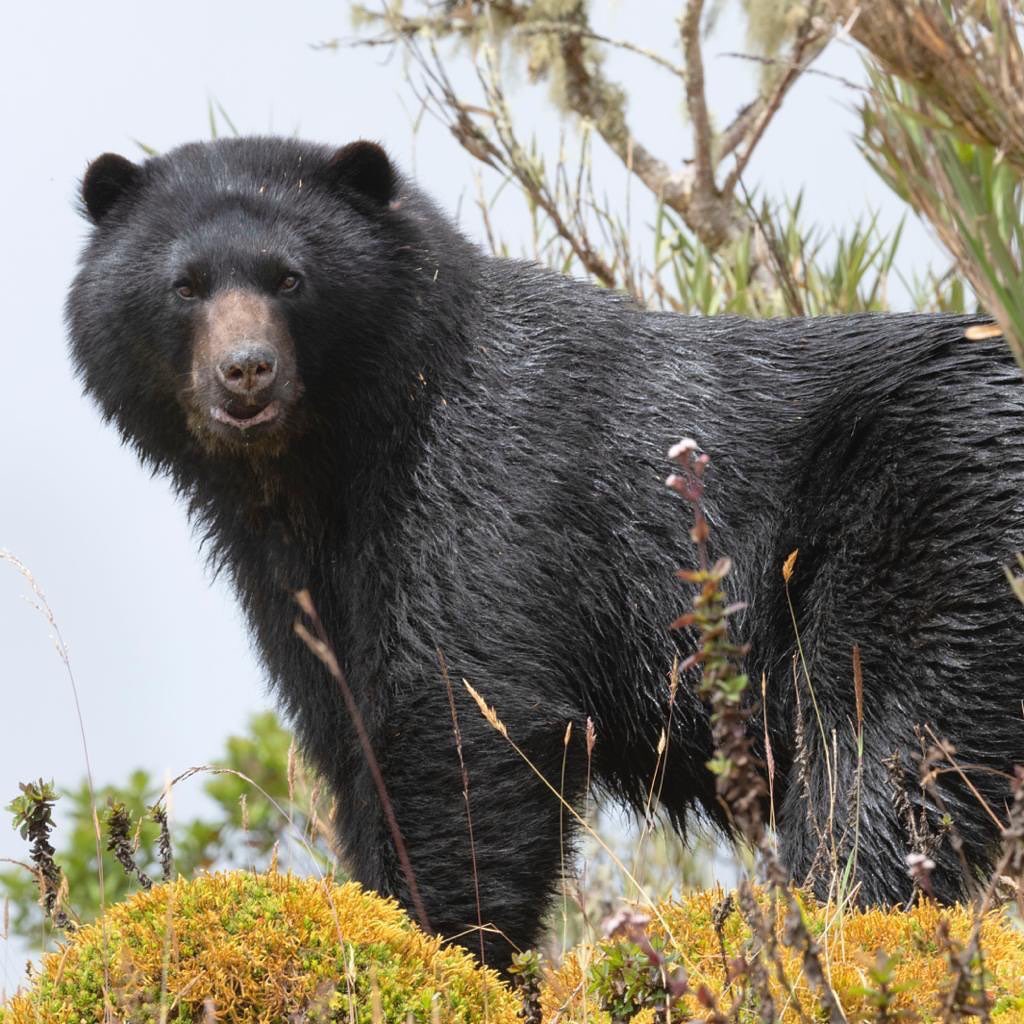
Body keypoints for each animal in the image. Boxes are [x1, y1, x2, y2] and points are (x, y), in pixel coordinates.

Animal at [67, 136, 1024, 970]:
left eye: (290, 277)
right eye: (184, 285)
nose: (246, 371)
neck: (334, 464)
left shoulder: (484, 486)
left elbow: (465, 721)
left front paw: (442, 946)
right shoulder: (302, 584)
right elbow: (352, 733)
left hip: (938, 520)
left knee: (883, 751)